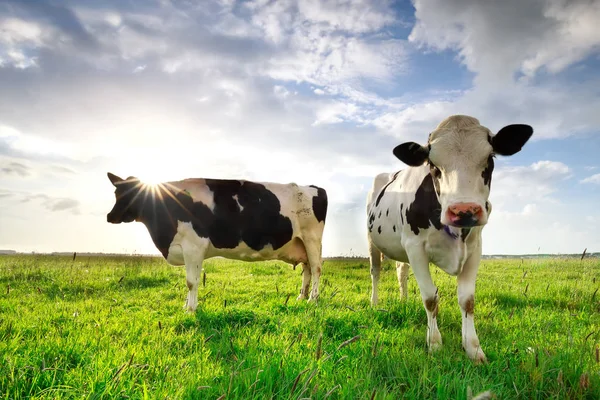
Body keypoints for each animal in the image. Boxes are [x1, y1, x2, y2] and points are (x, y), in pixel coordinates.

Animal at [104, 173, 328, 310]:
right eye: (117, 192)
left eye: (132, 194)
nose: (109, 216)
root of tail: (313, 187)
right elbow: (190, 280)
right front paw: (187, 306)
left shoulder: (194, 246)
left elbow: (191, 281)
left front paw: (191, 309)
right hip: (301, 242)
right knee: (307, 269)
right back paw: (301, 297)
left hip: (312, 238)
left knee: (316, 268)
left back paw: (313, 299)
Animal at [364, 115, 532, 362]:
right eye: (433, 165)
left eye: (490, 158)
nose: (464, 210)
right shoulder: (415, 247)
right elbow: (430, 298)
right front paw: (434, 343)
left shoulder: (475, 249)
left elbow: (467, 300)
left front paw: (473, 348)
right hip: (372, 242)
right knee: (375, 272)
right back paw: (375, 303)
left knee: (401, 272)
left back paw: (404, 300)